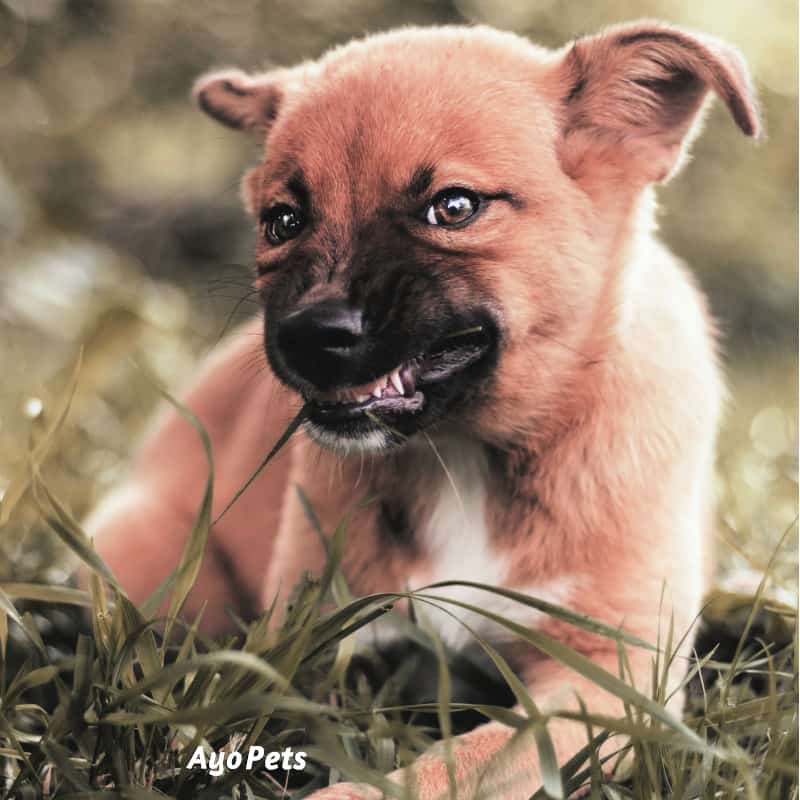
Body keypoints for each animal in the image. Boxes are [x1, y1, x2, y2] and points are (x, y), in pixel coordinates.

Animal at [84, 21, 760, 796]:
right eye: (283, 221)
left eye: (455, 207)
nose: (307, 337)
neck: (465, 455)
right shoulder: (319, 641)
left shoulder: (611, 680)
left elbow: (473, 755)